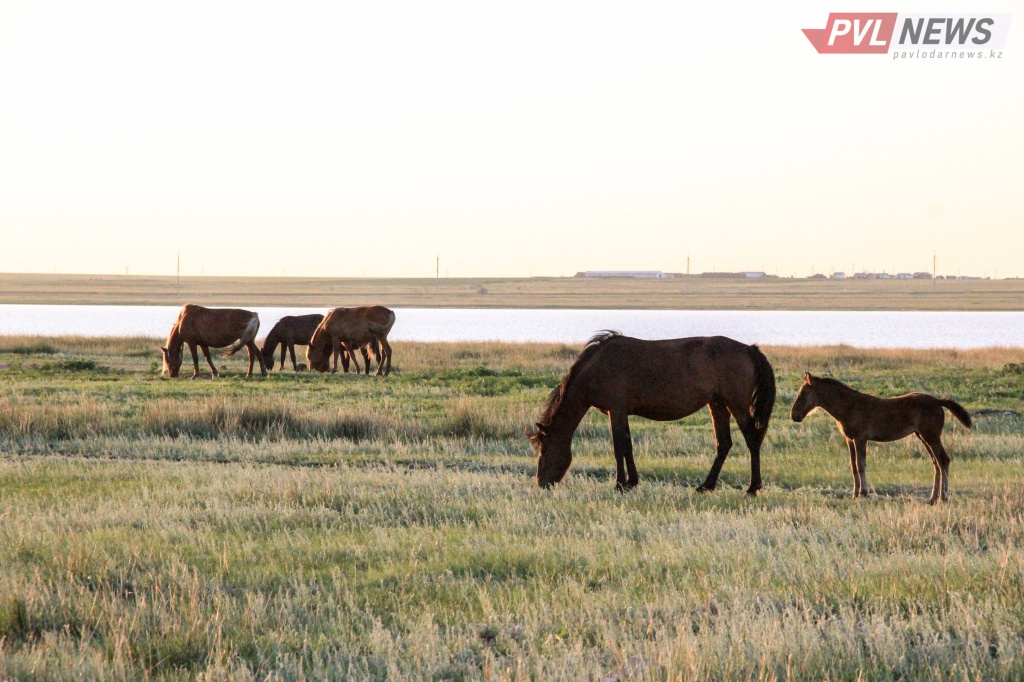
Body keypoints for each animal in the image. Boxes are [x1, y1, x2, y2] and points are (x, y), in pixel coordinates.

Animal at [528, 331, 774, 491]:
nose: (541, 483)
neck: (598, 366)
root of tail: (748, 349)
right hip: (718, 405)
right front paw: (631, 482)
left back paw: (753, 487)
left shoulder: (616, 410)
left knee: (752, 439)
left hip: (737, 406)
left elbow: (619, 447)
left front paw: (619, 484)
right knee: (723, 444)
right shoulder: (621, 412)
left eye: (544, 450)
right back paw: (706, 486)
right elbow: (627, 446)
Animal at [786, 368, 970, 501]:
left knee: (943, 460)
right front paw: (854, 494)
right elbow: (853, 465)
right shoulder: (849, 440)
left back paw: (943, 496)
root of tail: (938, 401)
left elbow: (860, 464)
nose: (794, 415)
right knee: (936, 463)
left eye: (803, 393)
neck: (848, 406)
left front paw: (863, 493)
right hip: (923, 437)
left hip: (931, 437)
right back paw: (932, 498)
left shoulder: (860, 438)